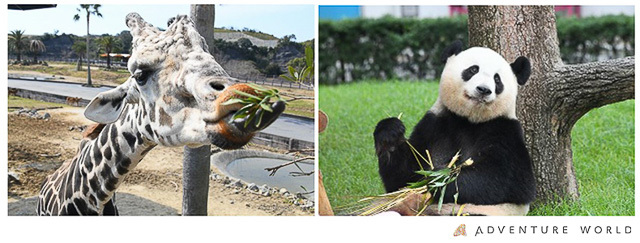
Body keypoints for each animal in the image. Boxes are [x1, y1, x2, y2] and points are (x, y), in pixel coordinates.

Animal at [372, 40, 536, 216]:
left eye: (497, 80)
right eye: (473, 70)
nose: (484, 90)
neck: (469, 120)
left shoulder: (505, 130)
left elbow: (510, 181)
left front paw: (439, 180)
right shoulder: (435, 124)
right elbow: (402, 178)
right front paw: (390, 135)